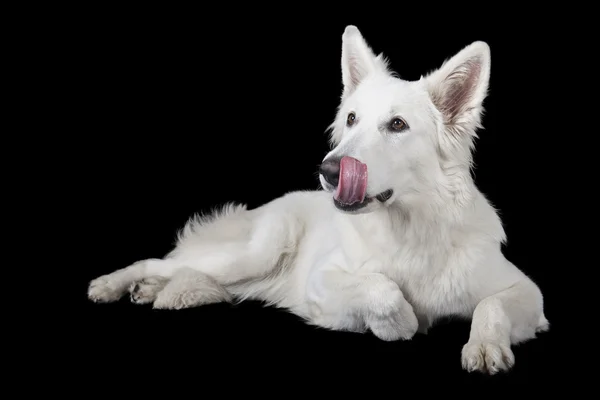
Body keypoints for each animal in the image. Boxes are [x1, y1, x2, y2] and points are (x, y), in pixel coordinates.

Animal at [88, 25, 548, 376]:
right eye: (351, 119)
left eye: (397, 125)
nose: (328, 171)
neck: (407, 232)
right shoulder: (321, 281)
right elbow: (382, 290)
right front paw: (402, 323)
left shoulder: (527, 292)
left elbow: (491, 305)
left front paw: (485, 346)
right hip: (253, 255)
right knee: (163, 260)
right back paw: (117, 283)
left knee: (192, 274)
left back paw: (155, 290)